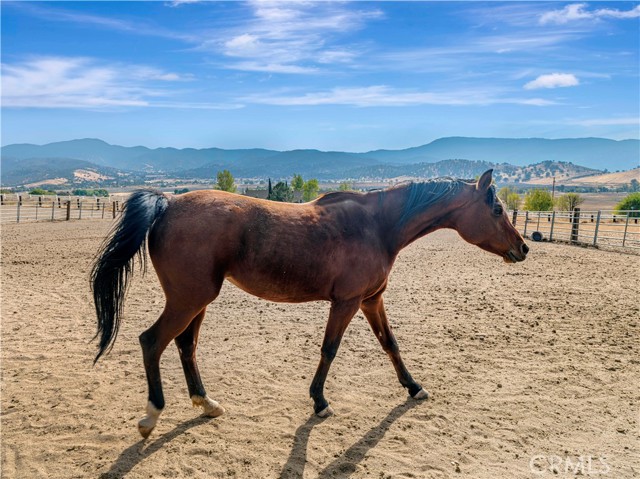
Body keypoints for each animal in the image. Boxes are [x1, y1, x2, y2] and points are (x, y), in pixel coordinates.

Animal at [91, 170, 528, 438]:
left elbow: (390, 344)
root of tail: (167, 204)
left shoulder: (372, 300)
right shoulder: (347, 302)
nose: (523, 248)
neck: (378, 225)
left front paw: (414, 387)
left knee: (186, 345)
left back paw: (206, 403)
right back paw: (151, 416)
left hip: (198, 301)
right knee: (152, 342)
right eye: (497, 209)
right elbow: (329, 349)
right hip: (188, 299)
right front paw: (319, 402)